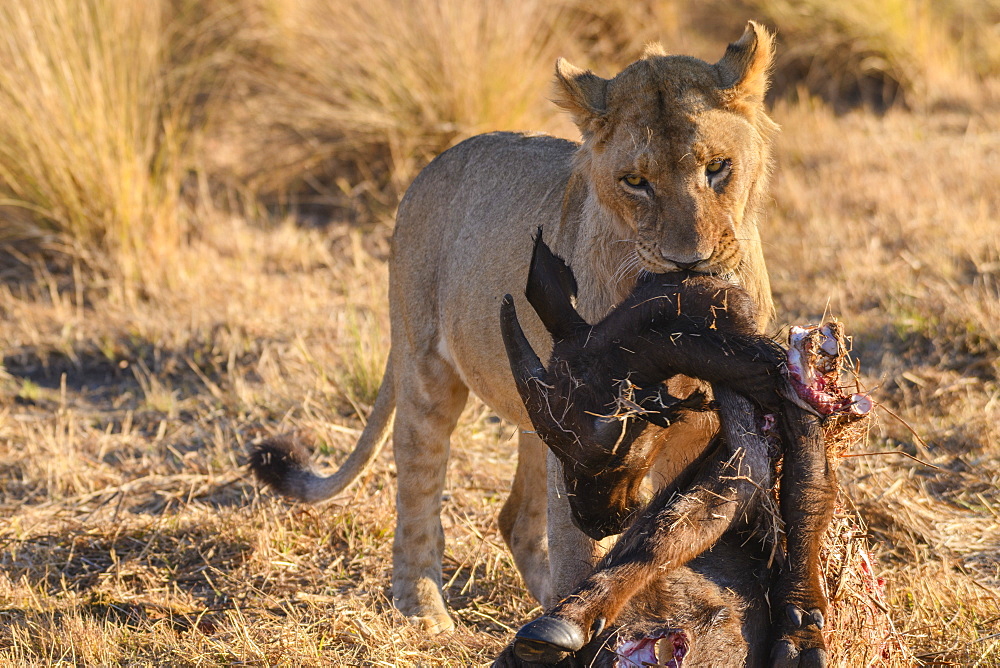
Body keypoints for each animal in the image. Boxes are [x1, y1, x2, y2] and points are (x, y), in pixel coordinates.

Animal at [250, 20, 780, 636]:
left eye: (717, 167)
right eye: (635, 182)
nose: (688, 261)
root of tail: (432, 166)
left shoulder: (698, 431)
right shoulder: (587, 438)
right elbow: (582, 548)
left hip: (534, 411)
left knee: (514, 518)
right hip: (427, 370)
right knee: (419, 490)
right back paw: (425, 610)